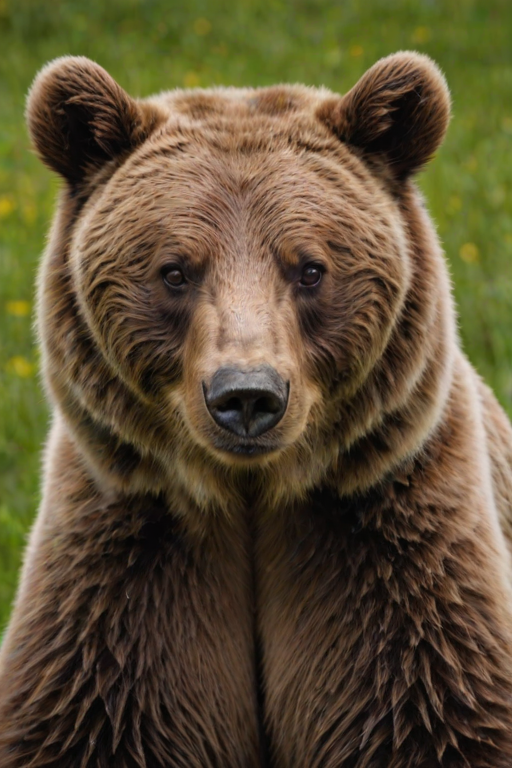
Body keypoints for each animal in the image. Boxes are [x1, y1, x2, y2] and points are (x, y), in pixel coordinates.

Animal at [1, 50, 512, 767]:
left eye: (310, 269)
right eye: (175, 270)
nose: (247, 395)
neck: (251, 495)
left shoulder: (395, 557)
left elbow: (435, 713)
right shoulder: (125, 570)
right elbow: (87, 716)